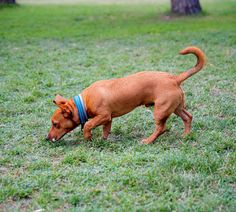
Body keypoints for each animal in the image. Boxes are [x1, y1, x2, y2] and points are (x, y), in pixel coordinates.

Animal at [47, 45, 206, 143]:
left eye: (55, 124)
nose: (47, 138)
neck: (83, 103)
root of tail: (174, 78)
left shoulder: (103, 116)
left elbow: (88, 125)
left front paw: (88, 137)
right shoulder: (108, 119)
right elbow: (105, 131)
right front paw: (102, 141)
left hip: (161, 110)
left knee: (161, 128)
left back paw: (148, 141)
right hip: (176, 108)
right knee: (188, 117)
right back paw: (185, 135)